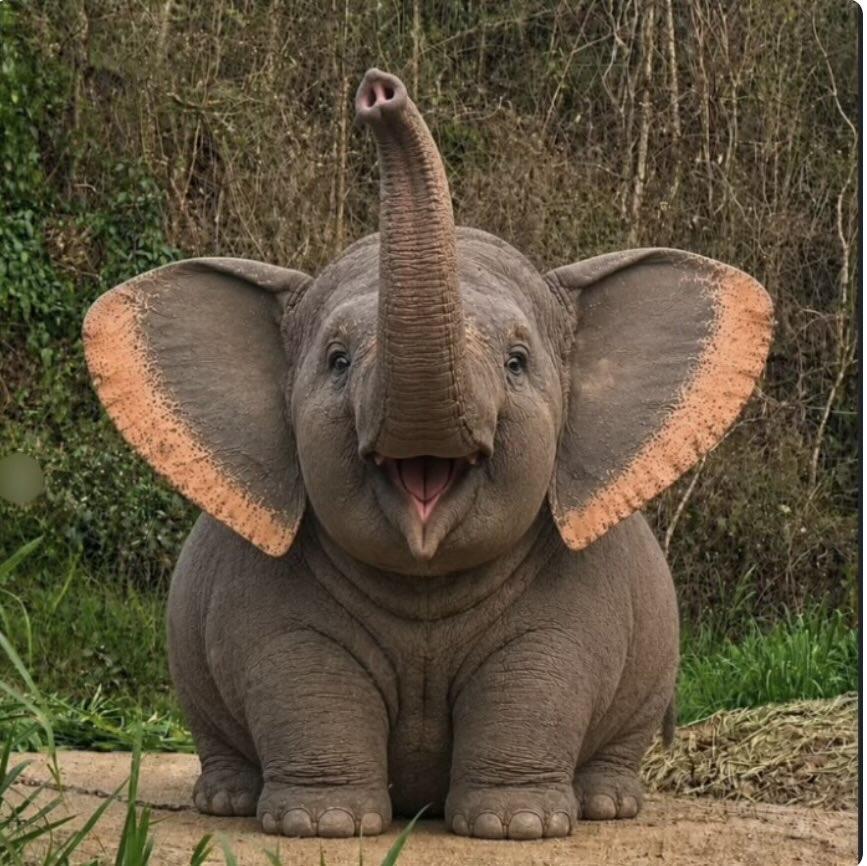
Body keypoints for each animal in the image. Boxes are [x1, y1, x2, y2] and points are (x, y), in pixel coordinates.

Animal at [83, 69, 773, 841]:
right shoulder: (268, 609)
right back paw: (227, 801)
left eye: (516, 361)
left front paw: (518, 826)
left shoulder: (572, 607)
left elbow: (541, 670)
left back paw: (608, 804)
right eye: (337, 360)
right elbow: (298, 669)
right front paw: (323, 825)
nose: (379, 92)